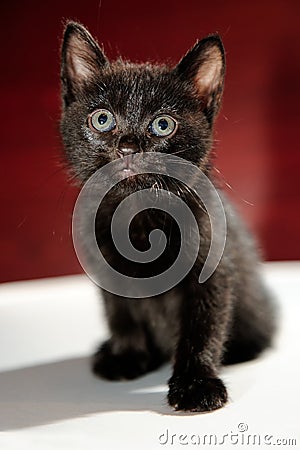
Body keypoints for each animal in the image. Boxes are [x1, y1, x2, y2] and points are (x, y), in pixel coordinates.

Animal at [59, 22, 276, 414]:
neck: (138, 221)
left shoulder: (213, 269)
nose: (128, 147)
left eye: (162, 125)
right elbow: (121, 315)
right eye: (102, 119)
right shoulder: (104, 265)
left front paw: (196, 384)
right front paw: (127, 356)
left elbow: (202, 328)